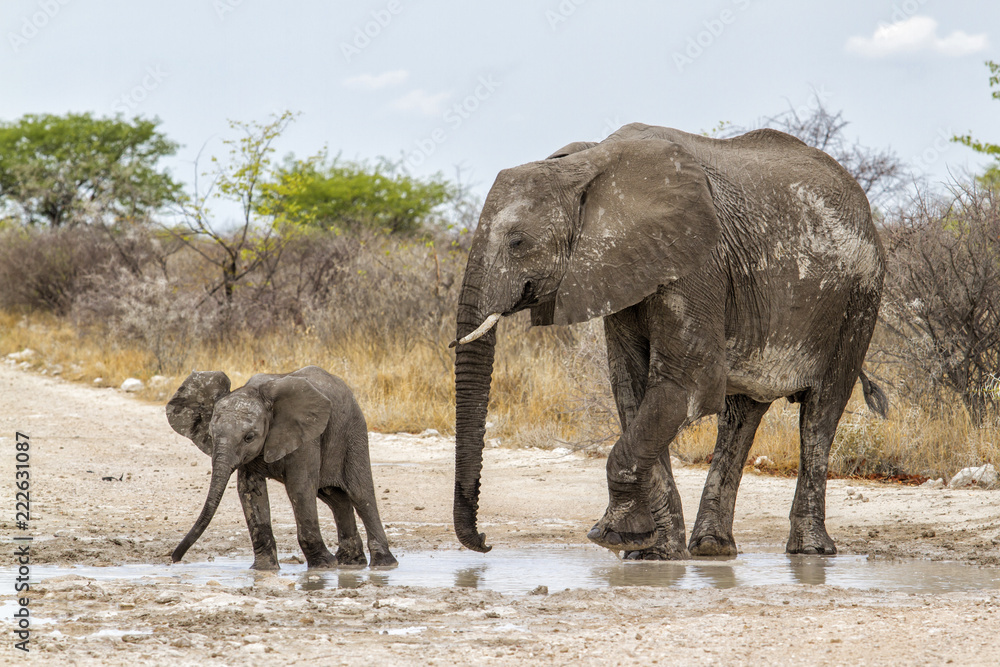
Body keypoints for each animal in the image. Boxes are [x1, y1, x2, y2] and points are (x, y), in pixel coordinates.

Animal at [166, 366, 396, 568]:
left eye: (249, 437)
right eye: (212, 437)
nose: (174, 559)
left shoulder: (305, 437)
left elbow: (300, 489)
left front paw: (324, 565)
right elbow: (250, 491)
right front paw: (264, 569)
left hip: (353, 432)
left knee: (361, 494)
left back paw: (383, 563)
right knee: (334, 498)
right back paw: (350, 563)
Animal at [452, 122, 884, 560]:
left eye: (517, 242)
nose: (485, 542)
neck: (588, 164)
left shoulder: (696, 260)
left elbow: (682, 385)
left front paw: (612, 537)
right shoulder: (624, 269)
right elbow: (633, 390)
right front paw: (652, 551)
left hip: (859, 296)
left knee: (821, 412)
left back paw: (809, 551)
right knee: (741, 416)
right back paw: (713, 548)